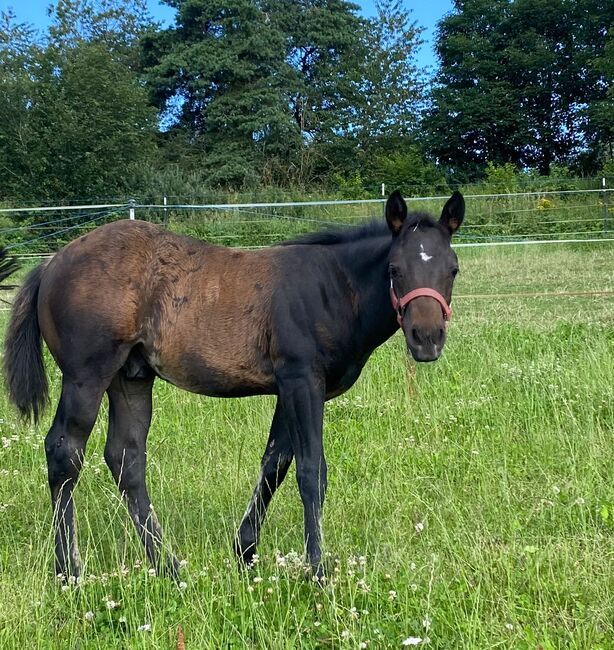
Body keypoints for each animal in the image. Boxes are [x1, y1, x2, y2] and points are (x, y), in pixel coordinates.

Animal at [3, 190, 466, 576]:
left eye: (454, 270)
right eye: (395, 269)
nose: (426, 338)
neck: (332, 287)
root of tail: (52, 262)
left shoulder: (289, 389)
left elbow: (275, 465)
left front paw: (245, 552)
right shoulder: (302, 381)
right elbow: (311, 471)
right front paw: (318, 570)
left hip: (130, 378)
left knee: (125, 459)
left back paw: (167, 565)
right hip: (87, 375)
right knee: (64, 451)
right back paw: (69, 570)